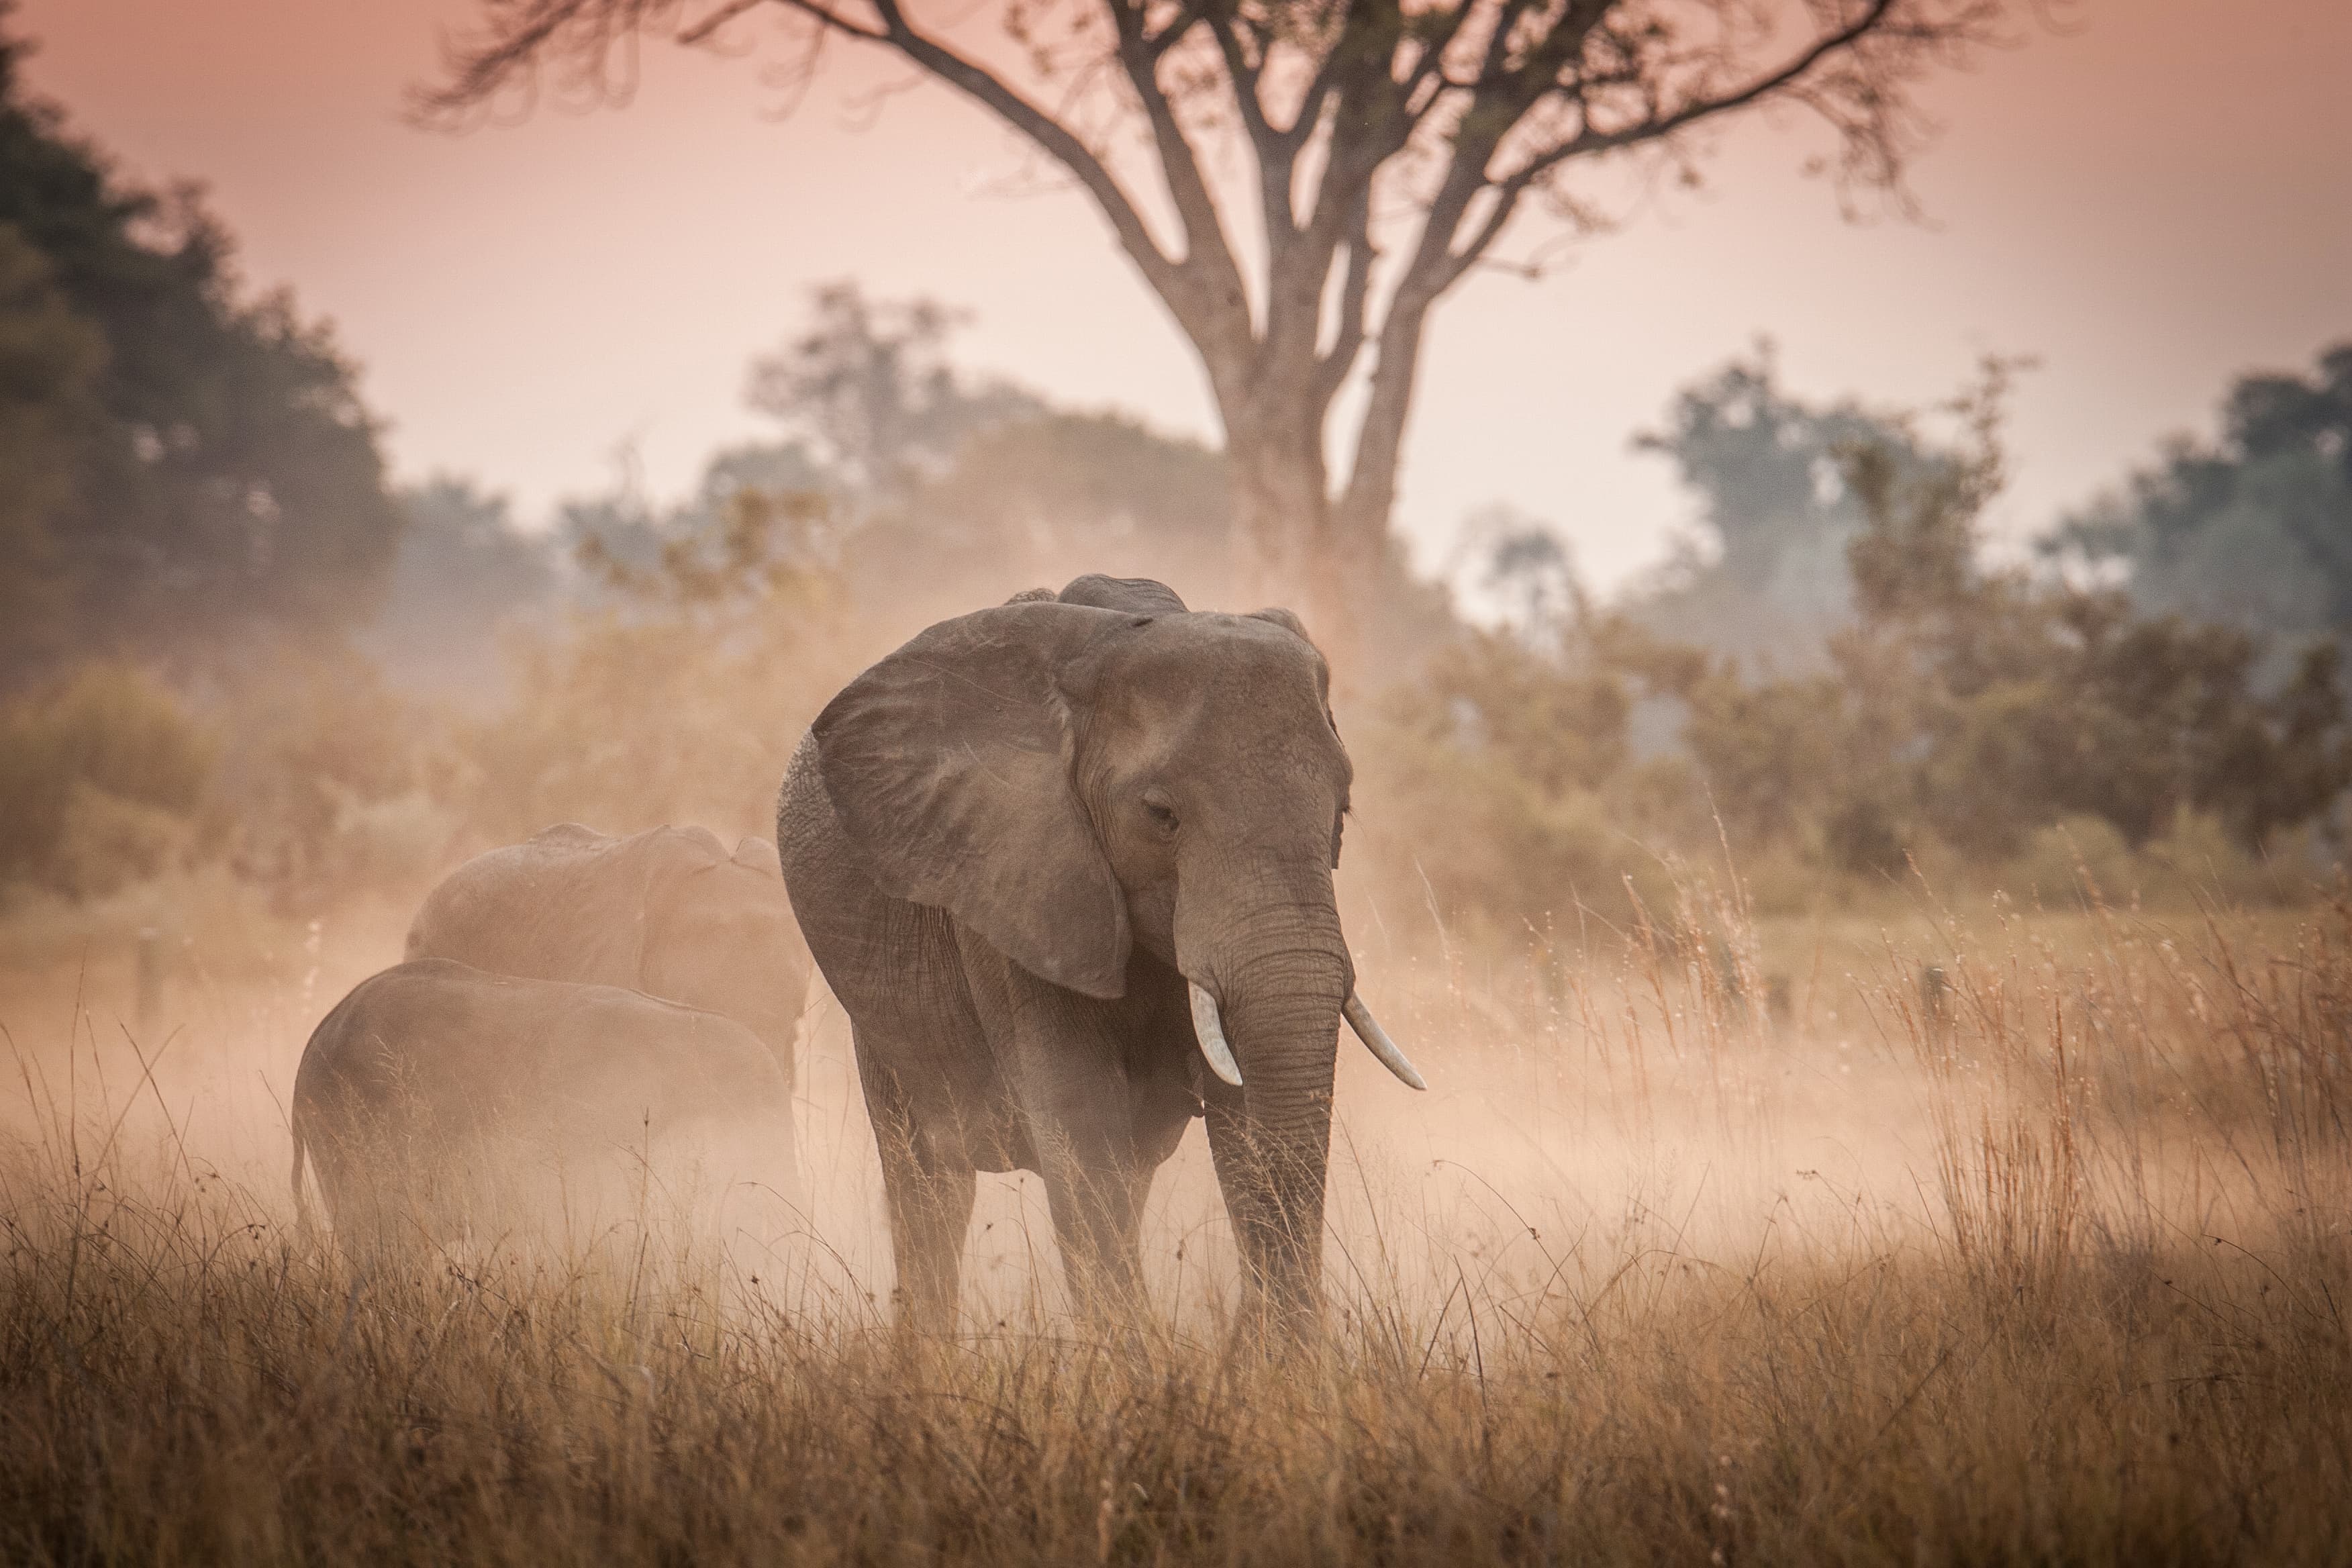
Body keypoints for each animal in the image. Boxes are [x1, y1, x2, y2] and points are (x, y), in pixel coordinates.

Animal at [776, 573, 1422, 1332]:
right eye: (1161, 815)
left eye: (1341, 811)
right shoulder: (1016, 884)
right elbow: (1084, 1142)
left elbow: (1240, 1126)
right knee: (930, 1186)